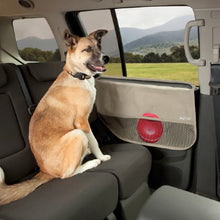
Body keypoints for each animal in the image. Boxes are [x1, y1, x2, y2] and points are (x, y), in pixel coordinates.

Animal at [0, 28, 110, 205]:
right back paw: (92, 161)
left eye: (99, 46)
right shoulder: (82, 122)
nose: (106, 58)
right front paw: (102, 156)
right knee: (67, 174)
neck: (76, 75)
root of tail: (44, 171)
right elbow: (94, 141)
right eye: (87, 49)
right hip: (77, 134)